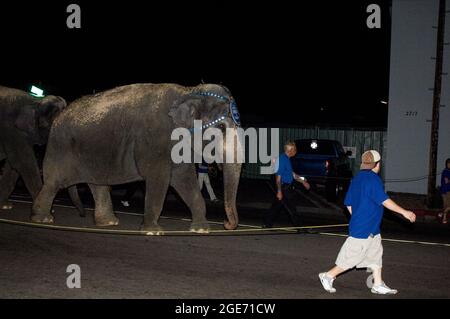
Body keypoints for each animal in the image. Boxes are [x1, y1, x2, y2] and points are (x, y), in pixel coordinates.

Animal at [31, 84, 243, 234]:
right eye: (221, 127)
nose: (226, 223)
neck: (188, 91)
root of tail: (59, 115)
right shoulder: (154, 141)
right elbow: (159, 179)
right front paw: (153, 231)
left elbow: (184, 179)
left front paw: (201, 229)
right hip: (60, 149)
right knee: (53, 183)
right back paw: (43, 219)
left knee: (97, 185)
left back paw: (109, 222)